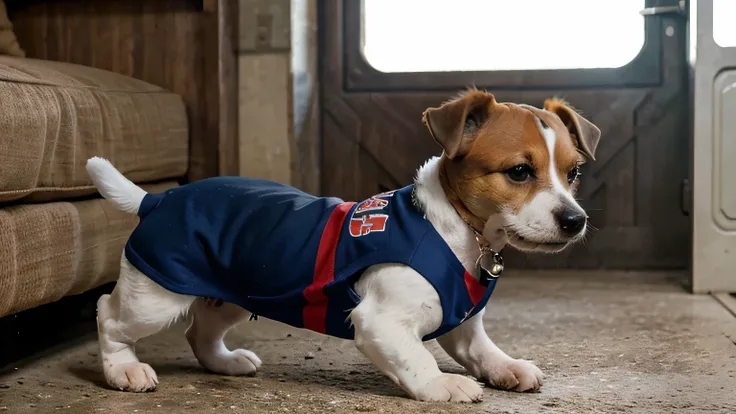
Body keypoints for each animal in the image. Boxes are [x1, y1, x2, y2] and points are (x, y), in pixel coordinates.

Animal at [89, 90, 600, 402]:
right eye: (519, 172)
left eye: (572, 172)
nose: (575, 221)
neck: (456, 230)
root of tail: (159, 199)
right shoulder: (381, 322)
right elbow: (416, 358)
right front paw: (442, 384)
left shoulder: (463, 326)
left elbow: (484, 352)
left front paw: (506, 367)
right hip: (155, 296)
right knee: (109, 316)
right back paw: (123, 370)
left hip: (233, 293)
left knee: (201, 331)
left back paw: (225, 362)